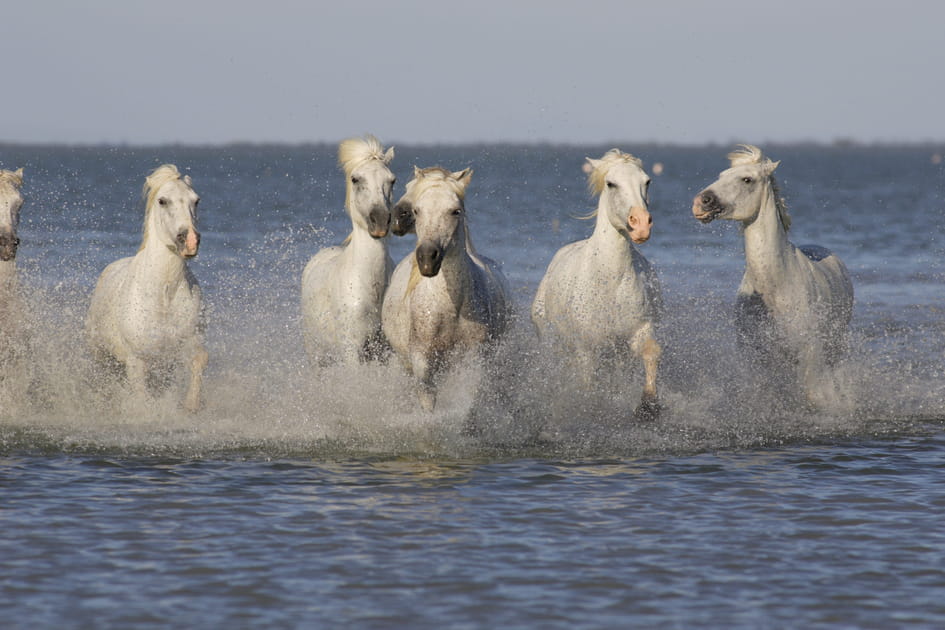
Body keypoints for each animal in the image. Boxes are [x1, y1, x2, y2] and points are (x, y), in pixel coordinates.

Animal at [85, 165, 208, 412]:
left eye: (196, 200)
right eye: (162, 201)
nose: (190, 240)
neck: (164, 296)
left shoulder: (184, 345)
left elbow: (199, 358)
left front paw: (191, 405)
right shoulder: (137, 359)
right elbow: (141, 398)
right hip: (101, 356)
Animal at [298, 136, 394, 368]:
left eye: (392, 180)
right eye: (355, 179)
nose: (380, 221)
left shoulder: (385, 351)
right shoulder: (352, 350)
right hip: (317, 355)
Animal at [380, 168, 508, 412]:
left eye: (455, 211)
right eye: (418, 210)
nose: (427, 258)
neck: (450, 305)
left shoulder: (475, 357)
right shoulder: (421, 359)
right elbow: (428, 398)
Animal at [532, 151, 664, 422]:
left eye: (647, 181)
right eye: (611, 184)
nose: (641, 225)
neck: (609, 284)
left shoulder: (638, 332)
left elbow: (651, 351)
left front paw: (648, 405)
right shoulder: (587, 350)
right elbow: (587, 383)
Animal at [692, 146, 856, 408]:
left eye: (747, 179)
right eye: (721, 175)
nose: (701, 202)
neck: (777, 286)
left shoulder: (810, 354)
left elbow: (813, 395)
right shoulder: (758, 358)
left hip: (834, 346)